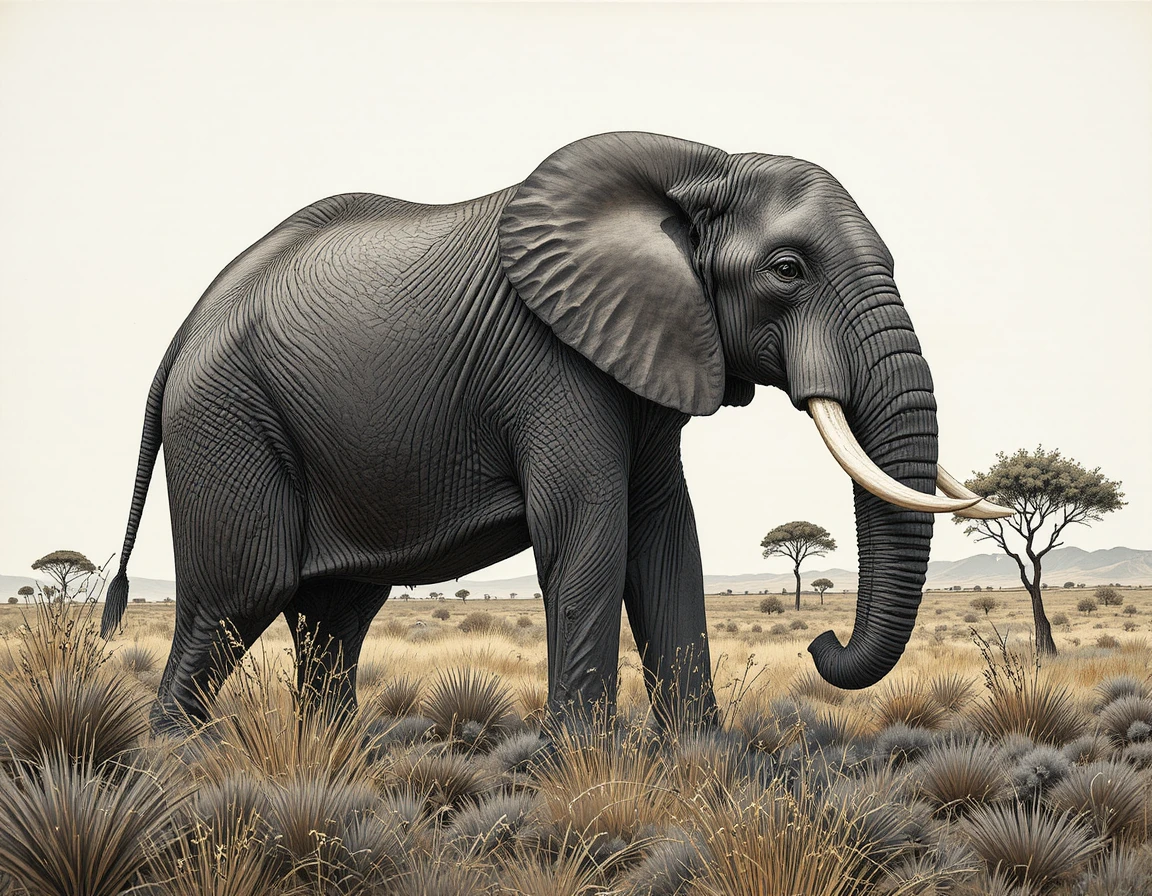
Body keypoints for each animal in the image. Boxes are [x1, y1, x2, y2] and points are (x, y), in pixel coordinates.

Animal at [104, 131, 1007, 732]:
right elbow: (591, 535)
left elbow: (665, 539)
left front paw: (700, 766)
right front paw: (580, 771)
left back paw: (327, 769)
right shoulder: (551, 362)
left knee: (336, 615)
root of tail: (185, 331)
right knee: (238, 597)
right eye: (787, 271)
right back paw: (183, 773)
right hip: (226, 420)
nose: (819, 640)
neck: (700, 164)